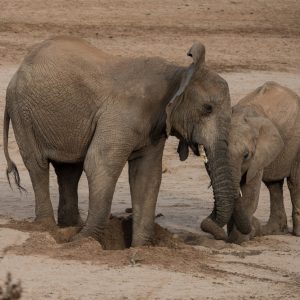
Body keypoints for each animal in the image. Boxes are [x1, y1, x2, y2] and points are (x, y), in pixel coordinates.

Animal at [2, 36, 244, 246]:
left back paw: (71, 226)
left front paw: (141, 248)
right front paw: (85, 241)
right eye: (207, 109)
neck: (179, 72)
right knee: (38, 165)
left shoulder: (154, 128)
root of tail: (18, 70)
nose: (210, 224)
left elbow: (147, 176)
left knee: (69, 170)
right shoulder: (122, 115)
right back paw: (49, 228)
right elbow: (100, 164)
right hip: (22, 112)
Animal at [224, 82, 300, 244]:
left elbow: (249, 193)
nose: (254, 225)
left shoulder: (257, 155)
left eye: (246, 155)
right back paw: (274, 231)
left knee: (295, 183)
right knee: (274, 185)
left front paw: (240, 240)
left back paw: (297, 234)